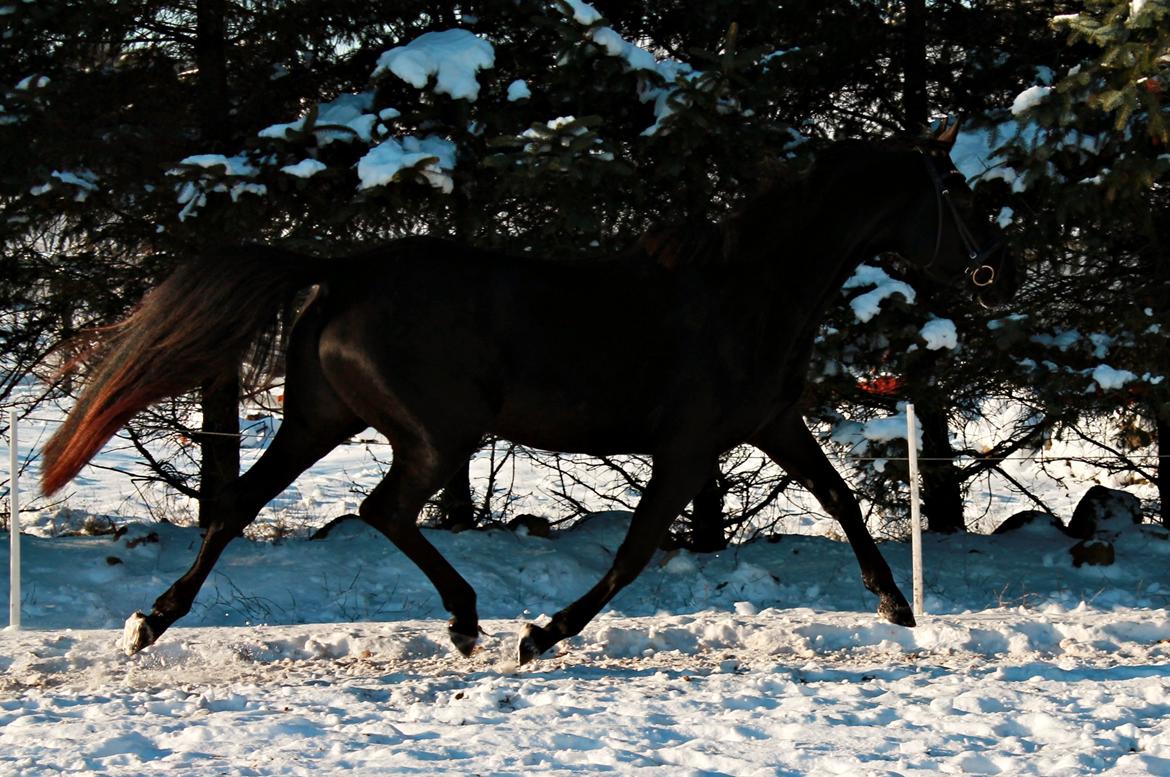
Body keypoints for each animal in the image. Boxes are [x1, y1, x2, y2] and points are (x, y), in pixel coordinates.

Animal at [43, 127, 1015, 659]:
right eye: (958, 191)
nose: (994, 273)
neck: (748, 292)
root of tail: (345, 273)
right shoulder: (689, 448)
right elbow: (632, 553)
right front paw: (540, 635)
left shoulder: (773, 423)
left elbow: (843, 501)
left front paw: (898, 608)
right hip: (437, 435)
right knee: (381, 509)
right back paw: (470, 620)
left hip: (320, 420)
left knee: (239, 504)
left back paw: (150, 623)